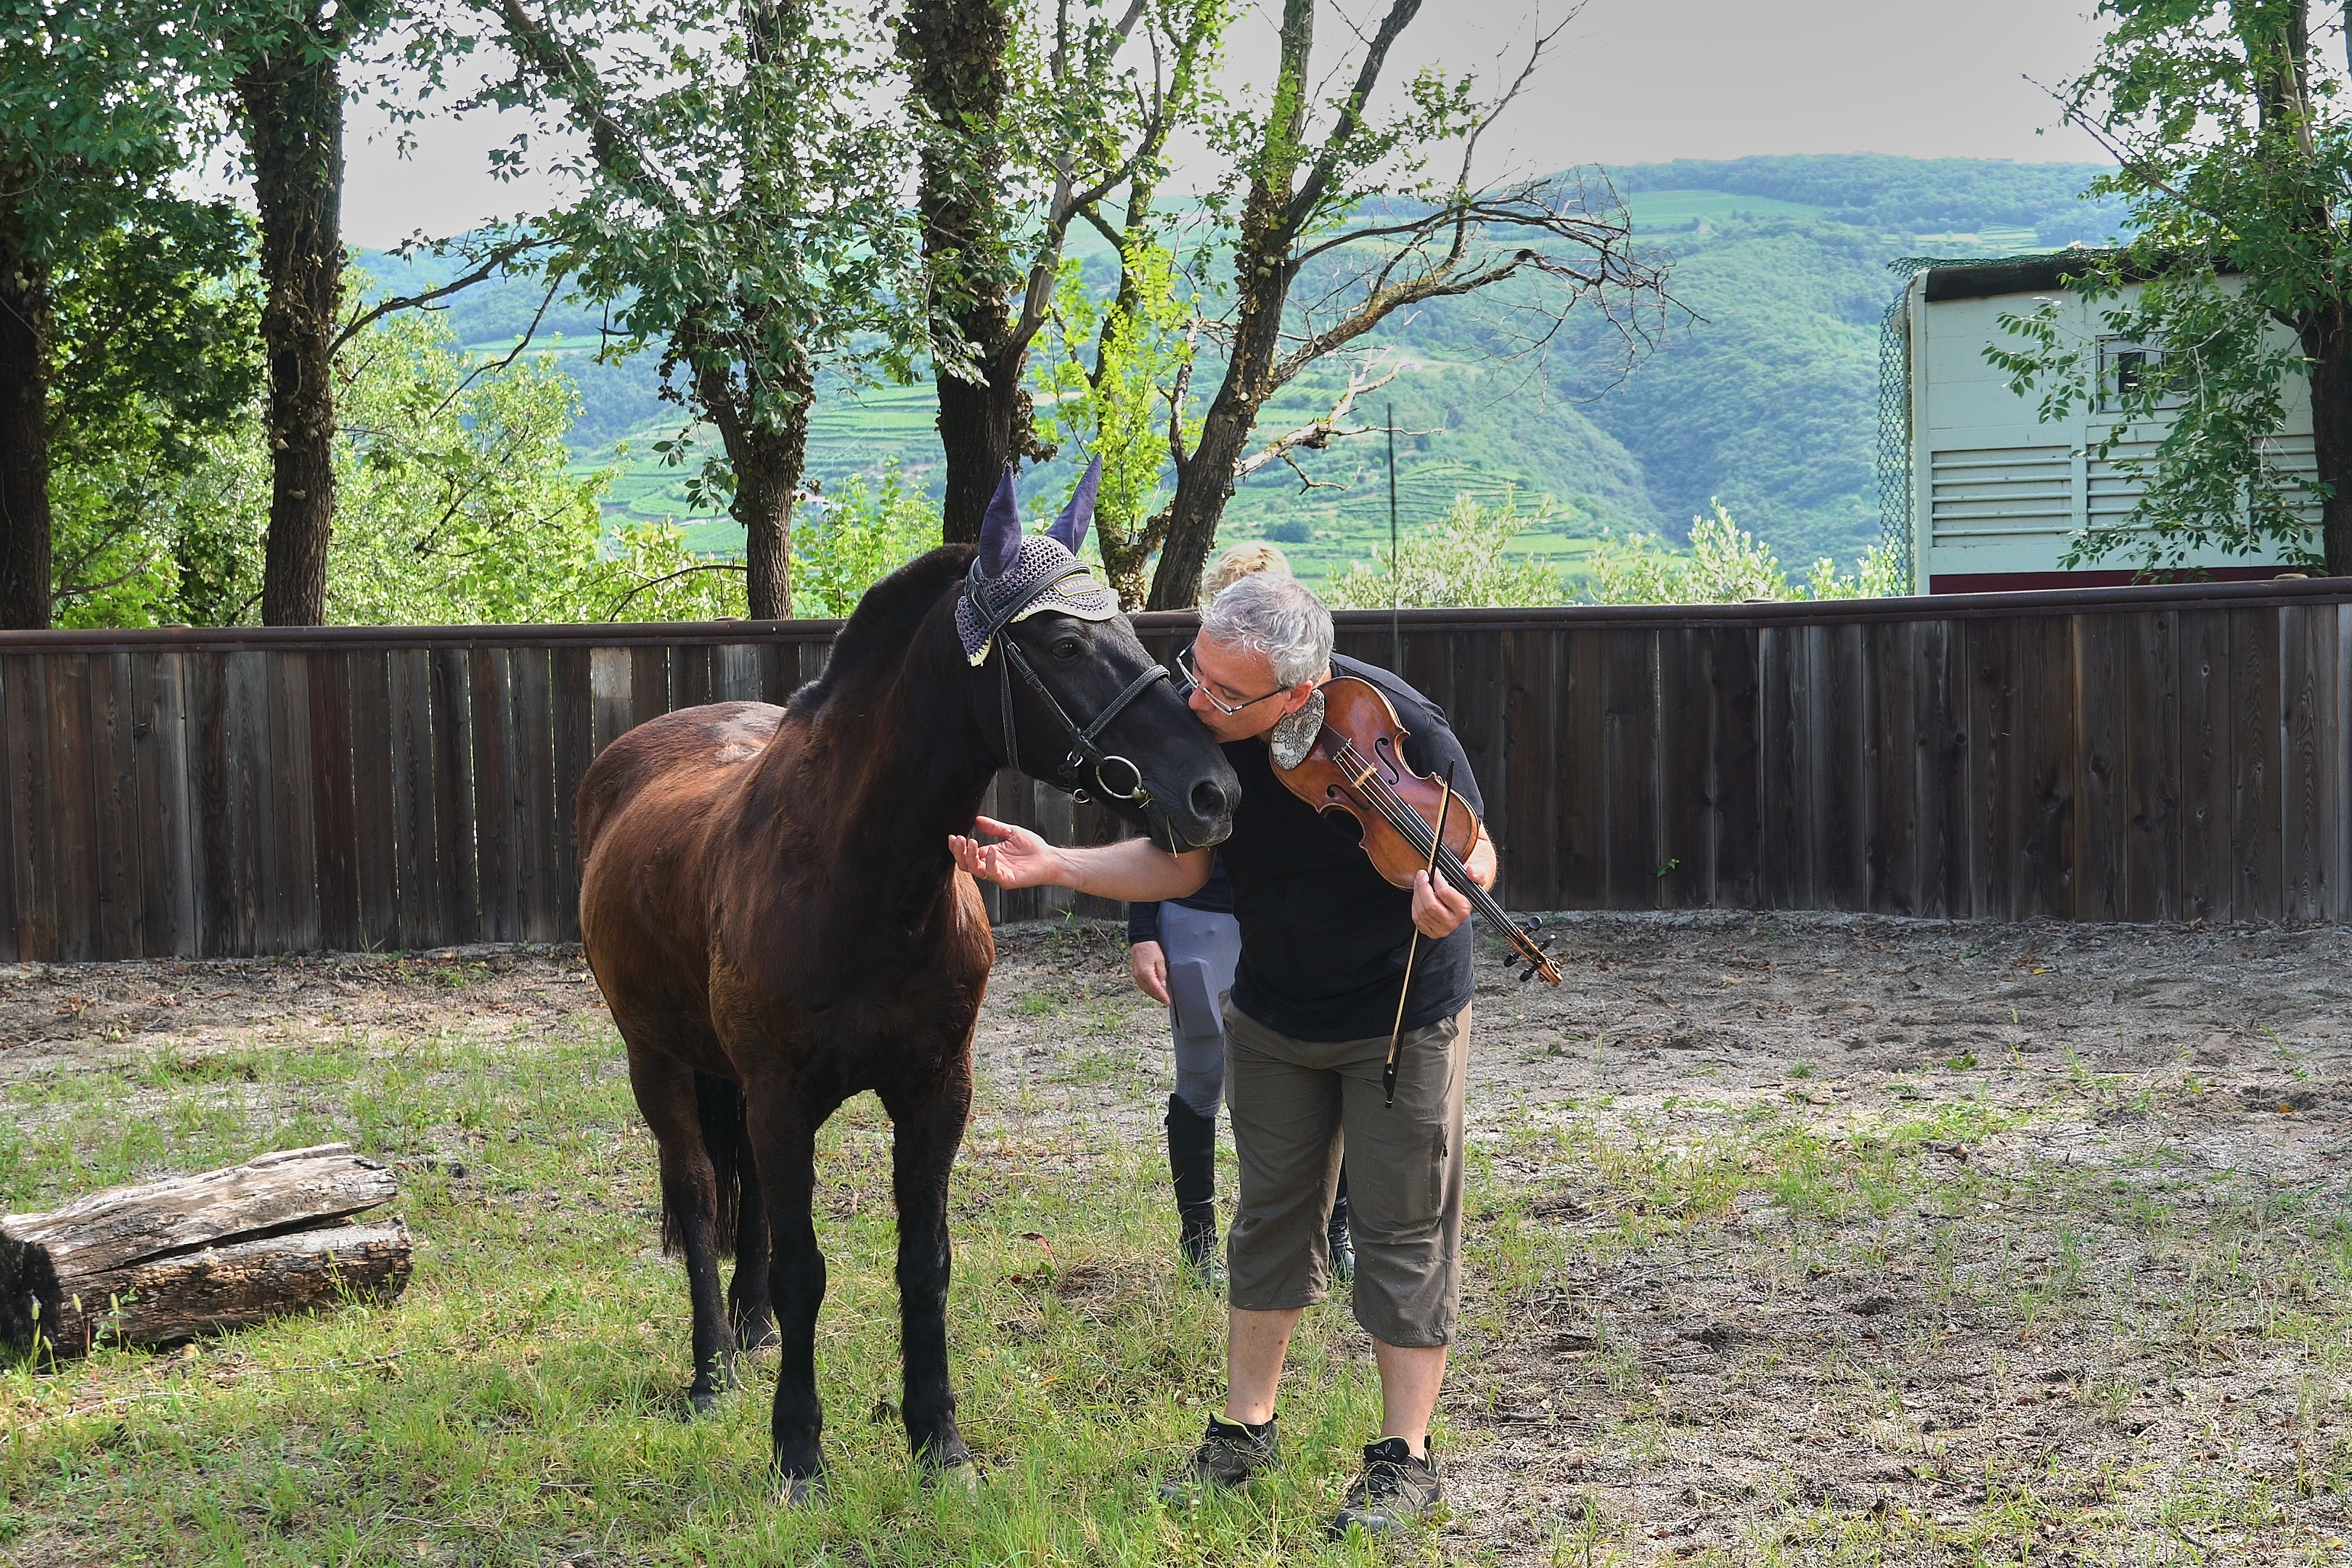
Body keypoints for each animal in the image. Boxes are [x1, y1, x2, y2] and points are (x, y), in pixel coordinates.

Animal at [574, 463, 1237, 1495]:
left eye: (1128, 629)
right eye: (1060, 640)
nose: (1213, 792)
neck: (863, 880)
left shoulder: (935, 1090)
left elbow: (924, 1260)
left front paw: (938, 1440)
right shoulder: (781, 1095)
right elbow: (805, 1267)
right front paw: (799, 1452)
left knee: (746, 1201)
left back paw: (752, 1333)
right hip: (658, 1061)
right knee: (696, 1193)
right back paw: (713, 1369)